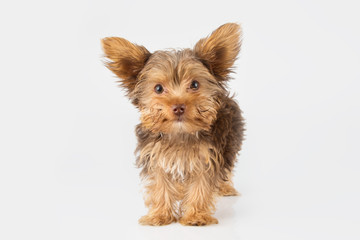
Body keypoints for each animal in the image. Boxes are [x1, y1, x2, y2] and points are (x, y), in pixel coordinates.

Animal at [102, 22, 246, 225]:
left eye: (195, 85)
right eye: (158, 88)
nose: (178, 107)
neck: (180, 133)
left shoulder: (208, 156)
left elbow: (202, 184)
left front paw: (196, 215)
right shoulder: (156, 156)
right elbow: (160, 184)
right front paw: (160, 215)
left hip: (230, 141)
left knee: (228, 166)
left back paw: (225, 188)